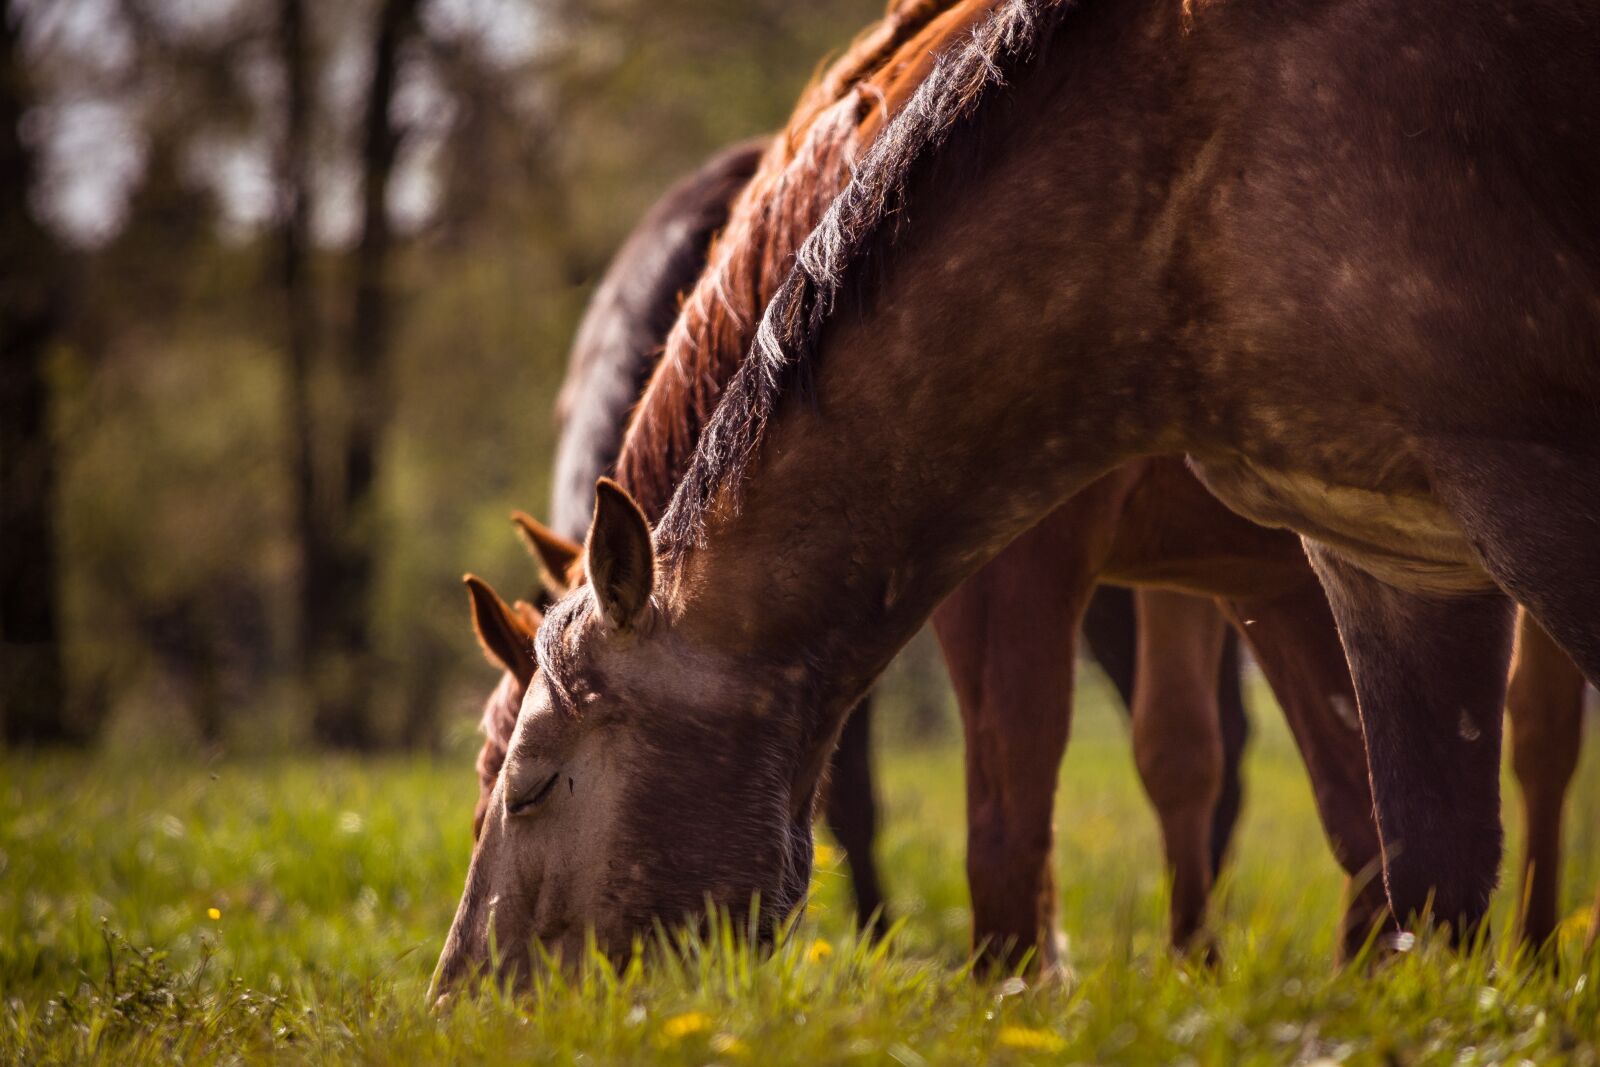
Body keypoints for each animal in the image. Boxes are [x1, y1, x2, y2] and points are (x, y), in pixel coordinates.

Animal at [434, 0, 1600, 993]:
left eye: (527, 786)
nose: (462, 1000)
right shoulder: (1281, 558)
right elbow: (1259, 780)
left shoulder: (1040, 563)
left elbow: (1012, 815)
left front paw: (1017, 989)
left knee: (1541, 738)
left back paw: (1541, 955)